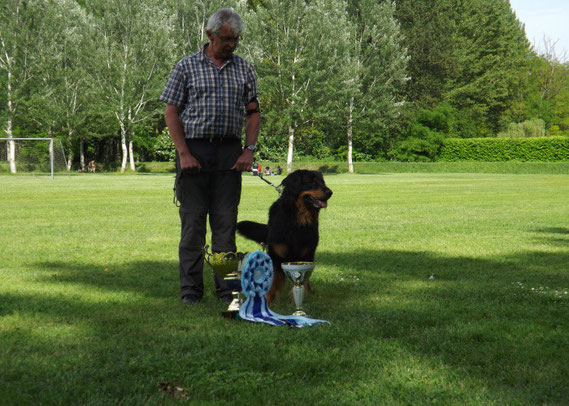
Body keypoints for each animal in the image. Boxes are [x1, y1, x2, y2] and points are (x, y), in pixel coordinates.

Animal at [236, 169, 332, 304]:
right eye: (310, 181)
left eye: (322, 181)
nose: (330, 192)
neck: (297, 220)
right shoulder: (277, 254)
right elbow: (274, 282)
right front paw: (268, 302)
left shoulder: (306, 254)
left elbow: (300, 282)